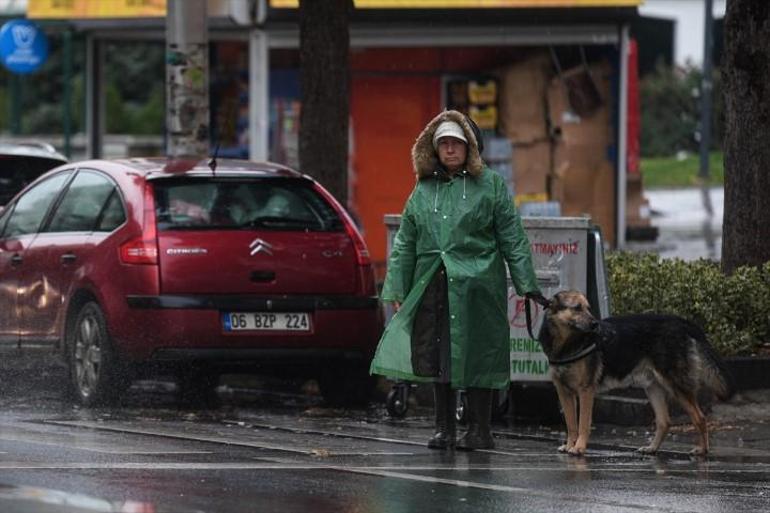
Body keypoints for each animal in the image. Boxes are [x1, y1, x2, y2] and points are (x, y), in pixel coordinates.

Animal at [536, 290, 732, 454]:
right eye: (577, 308)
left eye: (588, 308)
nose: (595, 324)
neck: (565, 345)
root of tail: (682, 323)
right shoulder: (564, 392)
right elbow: (571, 424)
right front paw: (570, 444)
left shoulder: (585, 390)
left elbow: (583, 423)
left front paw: (579, 447)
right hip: (653, 387)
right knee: (664, 421)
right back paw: (652, 448)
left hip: (676, 385)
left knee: (700, 418)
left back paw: (702, 450)